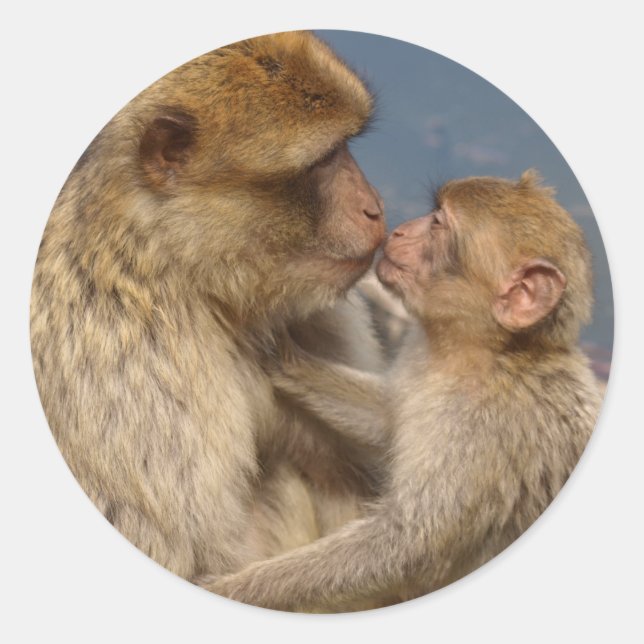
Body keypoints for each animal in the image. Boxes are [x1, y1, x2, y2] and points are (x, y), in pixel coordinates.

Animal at [204, 170, 603, 612]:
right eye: (434, 212)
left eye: (438, 224)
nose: (398, 230)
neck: (486, 353)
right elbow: (386, 419)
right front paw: (280, 354)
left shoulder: (484, 429)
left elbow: (407, 547)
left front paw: (232, 589)